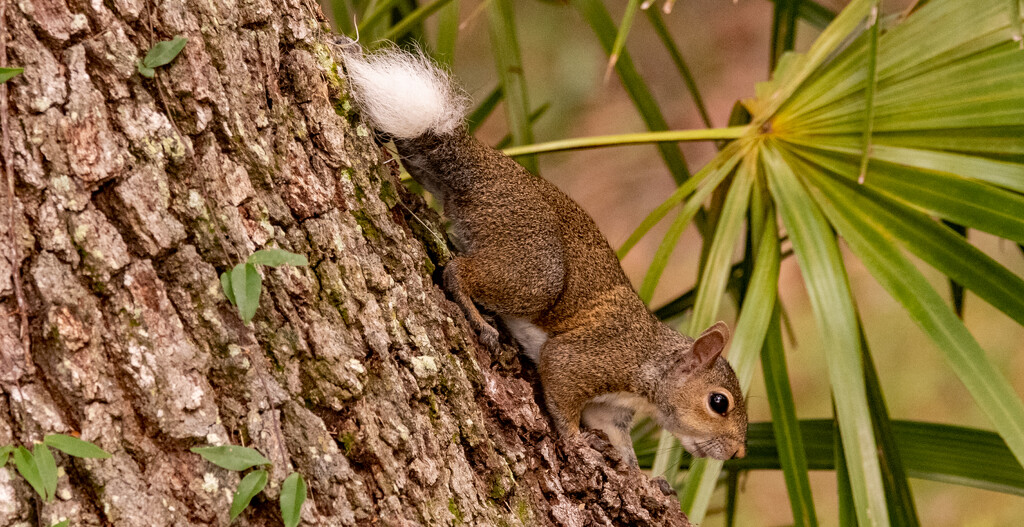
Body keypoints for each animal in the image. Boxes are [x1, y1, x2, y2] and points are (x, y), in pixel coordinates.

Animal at [339, 45, 749, 466]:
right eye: (719, 403)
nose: (739, 452)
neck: (652, 365)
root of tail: (492, 172)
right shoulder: (593, 358)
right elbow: (563, 388)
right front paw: (576, 441)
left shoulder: (610, 410)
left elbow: (619, 439)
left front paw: (635, 468)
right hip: (535, 267)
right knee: (457, 272)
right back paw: (479, 320)